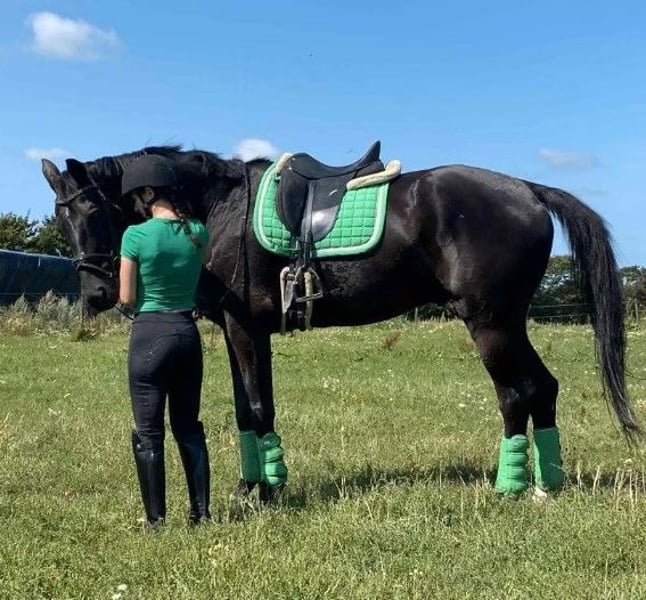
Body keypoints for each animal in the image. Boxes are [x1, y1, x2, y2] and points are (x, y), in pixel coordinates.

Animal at [41, 143, 641, 500]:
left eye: (92, 209)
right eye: (60, 216)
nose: (97, 293)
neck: (221, 207)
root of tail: (528, 189)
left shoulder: (245, 328)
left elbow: (256, 407)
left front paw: (268, 490)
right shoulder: (239, 330)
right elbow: (245, 408)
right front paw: (252, 484)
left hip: (492, 323)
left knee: (517, 393)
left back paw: (511, 487)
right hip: (511, 322)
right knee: (544, 388)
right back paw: (545, 484)